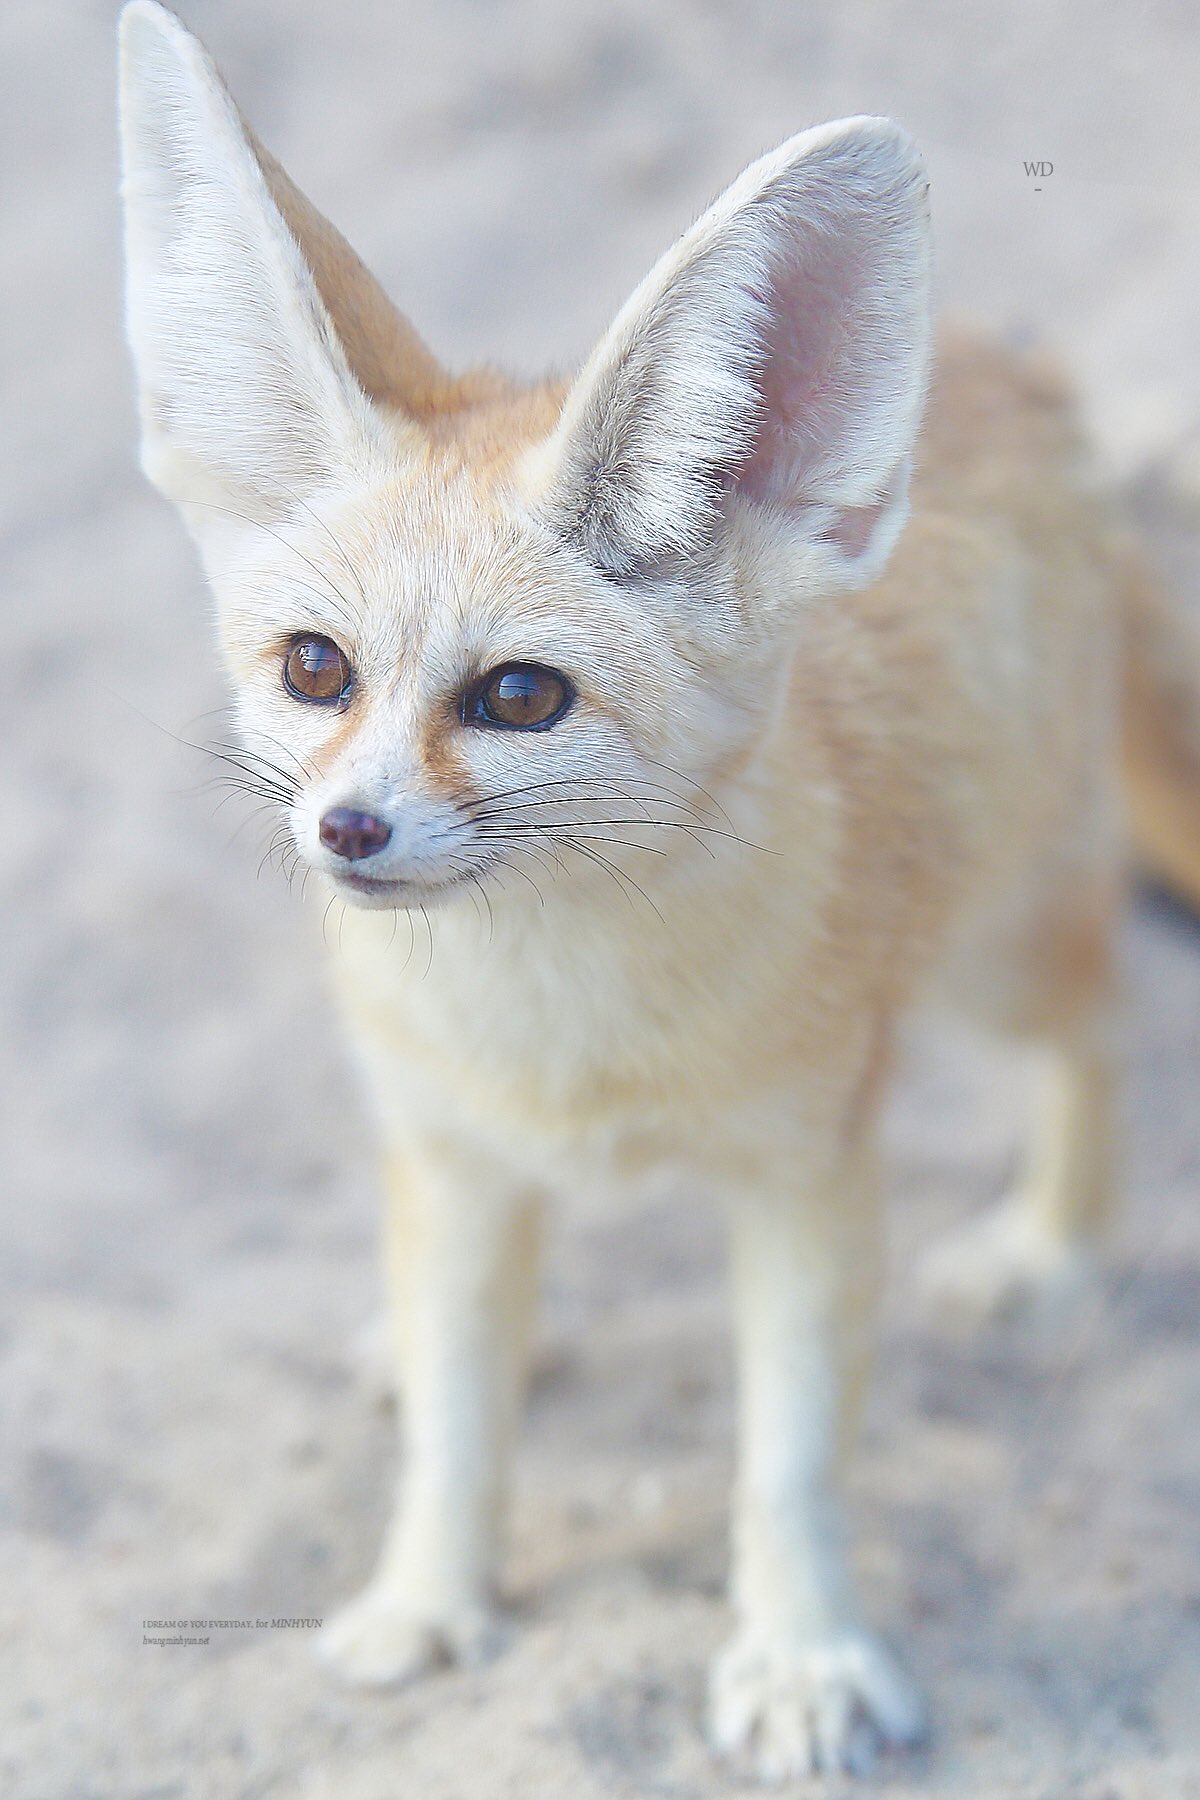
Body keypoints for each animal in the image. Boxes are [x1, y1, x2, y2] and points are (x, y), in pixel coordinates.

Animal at [116, 0, 1200, 1778]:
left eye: (520, 697)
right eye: (314, 668)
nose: (345, 830)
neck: (563, 1029)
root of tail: (1003, 364)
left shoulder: (810, 1176)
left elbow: (789, 1462)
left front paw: (803, 1656)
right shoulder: (454, 1156)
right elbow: (462, 1430)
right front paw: (427, 1598)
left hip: (1002, 958)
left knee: (1105, 1022)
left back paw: (1051, 1242)